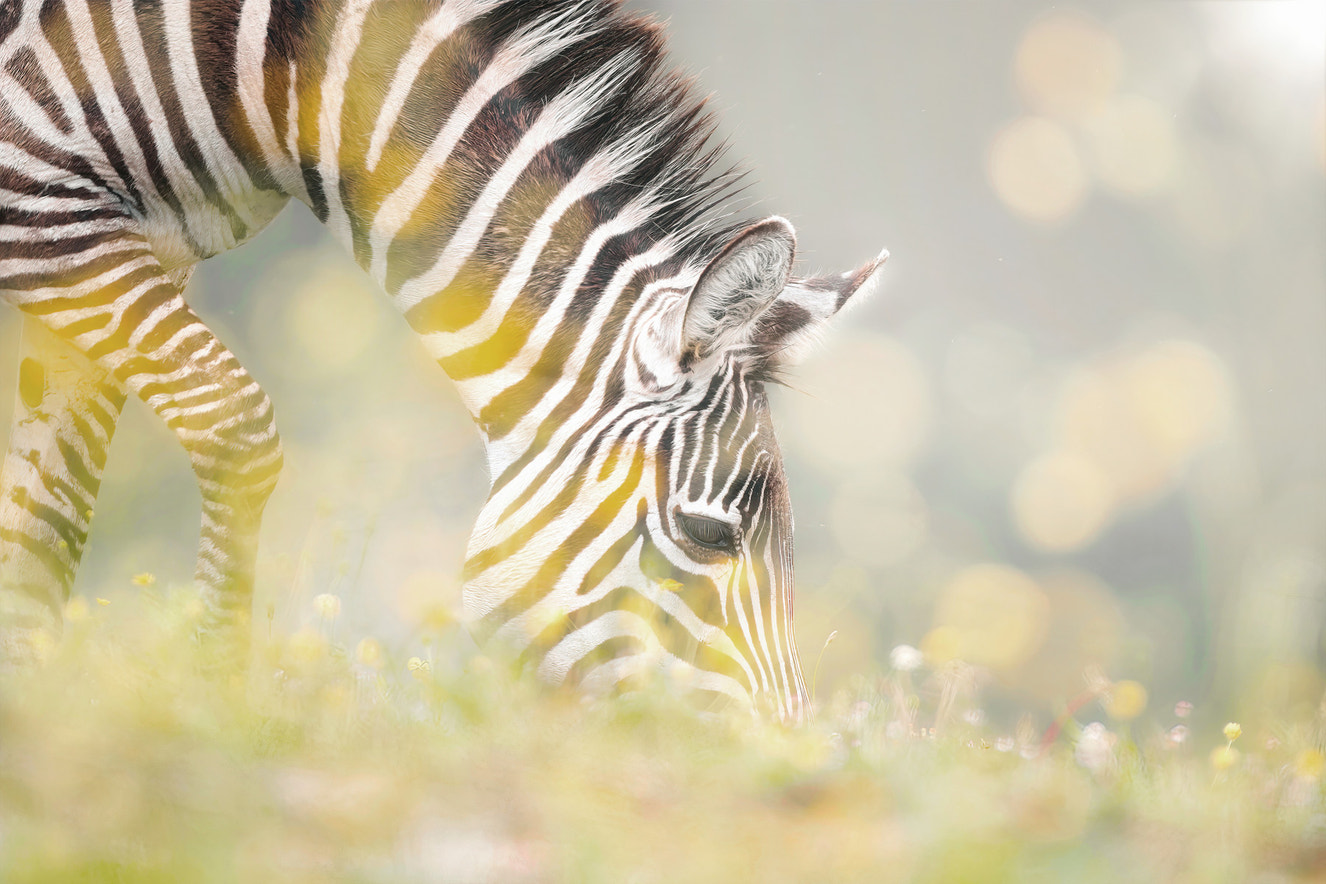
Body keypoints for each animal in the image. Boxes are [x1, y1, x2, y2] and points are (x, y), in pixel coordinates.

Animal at [0, 0, 884, 721]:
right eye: (707, 536)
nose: (783, 755)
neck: (277, 78)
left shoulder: (140, 247)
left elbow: (45, 519)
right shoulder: (43, 212)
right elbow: (230, 423)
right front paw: (208, 705)